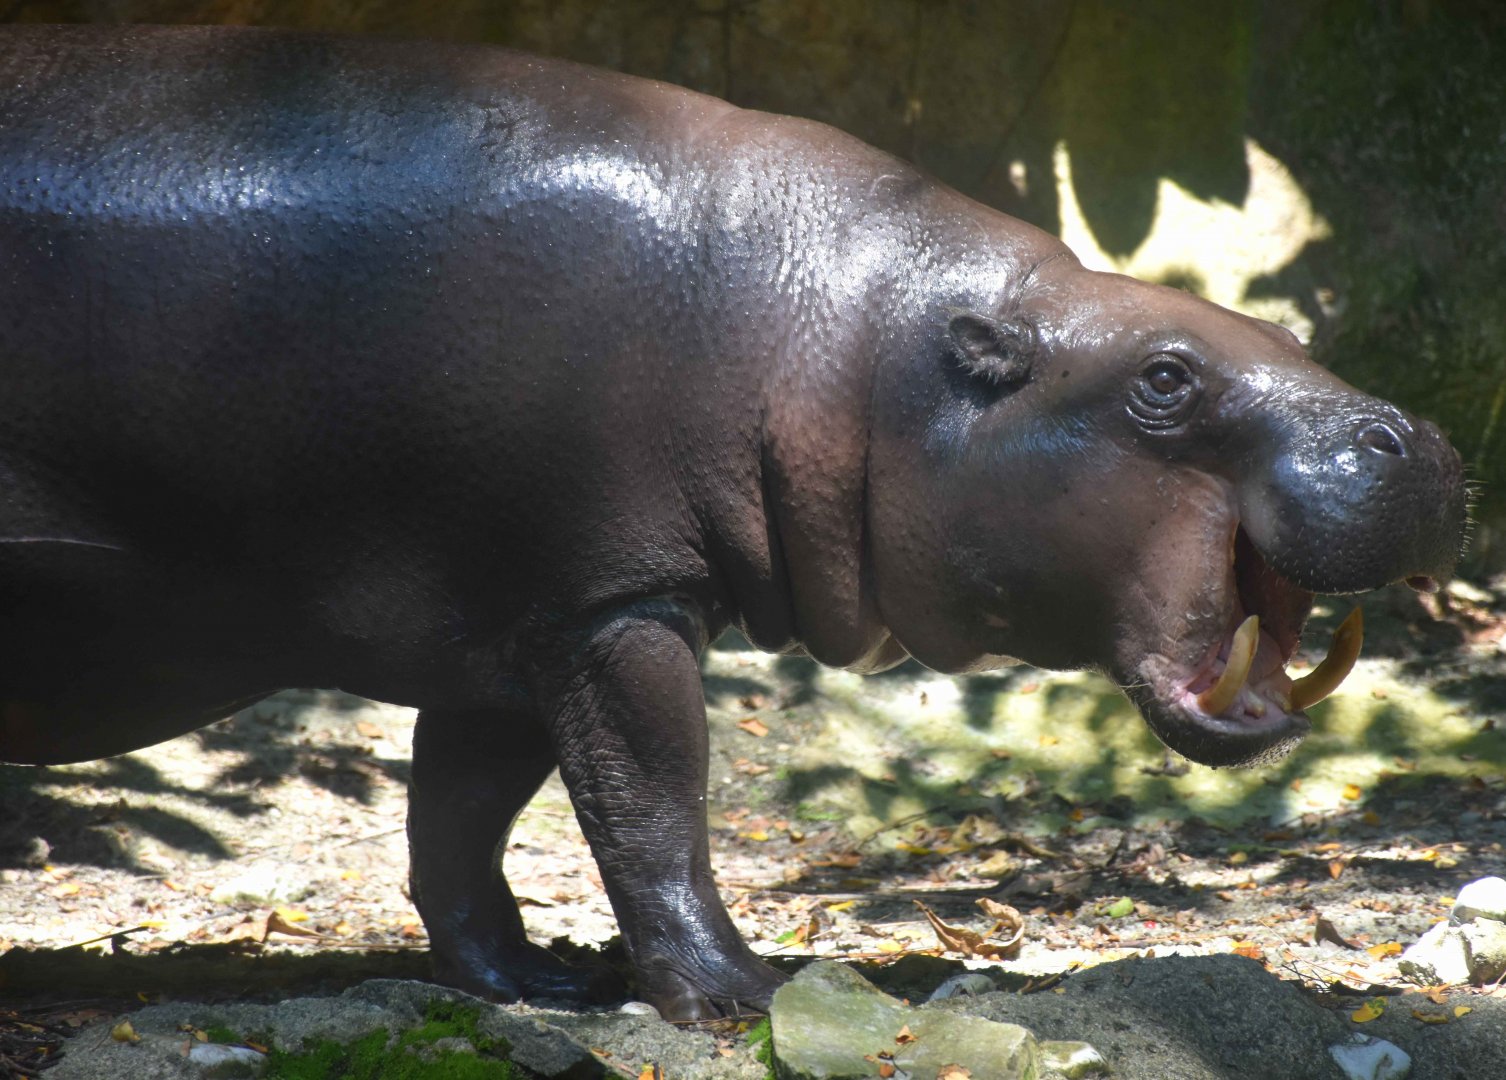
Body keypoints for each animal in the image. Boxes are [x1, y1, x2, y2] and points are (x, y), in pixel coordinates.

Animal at [0, 25, 1467, 1020]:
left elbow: (460, 821)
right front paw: (741, 997)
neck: (856, 351)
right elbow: (652, 808)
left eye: (1283, 332)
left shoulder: (516, 620)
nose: (1419, 438)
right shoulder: (614, 607)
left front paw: (536, 984)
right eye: (1165, 376)